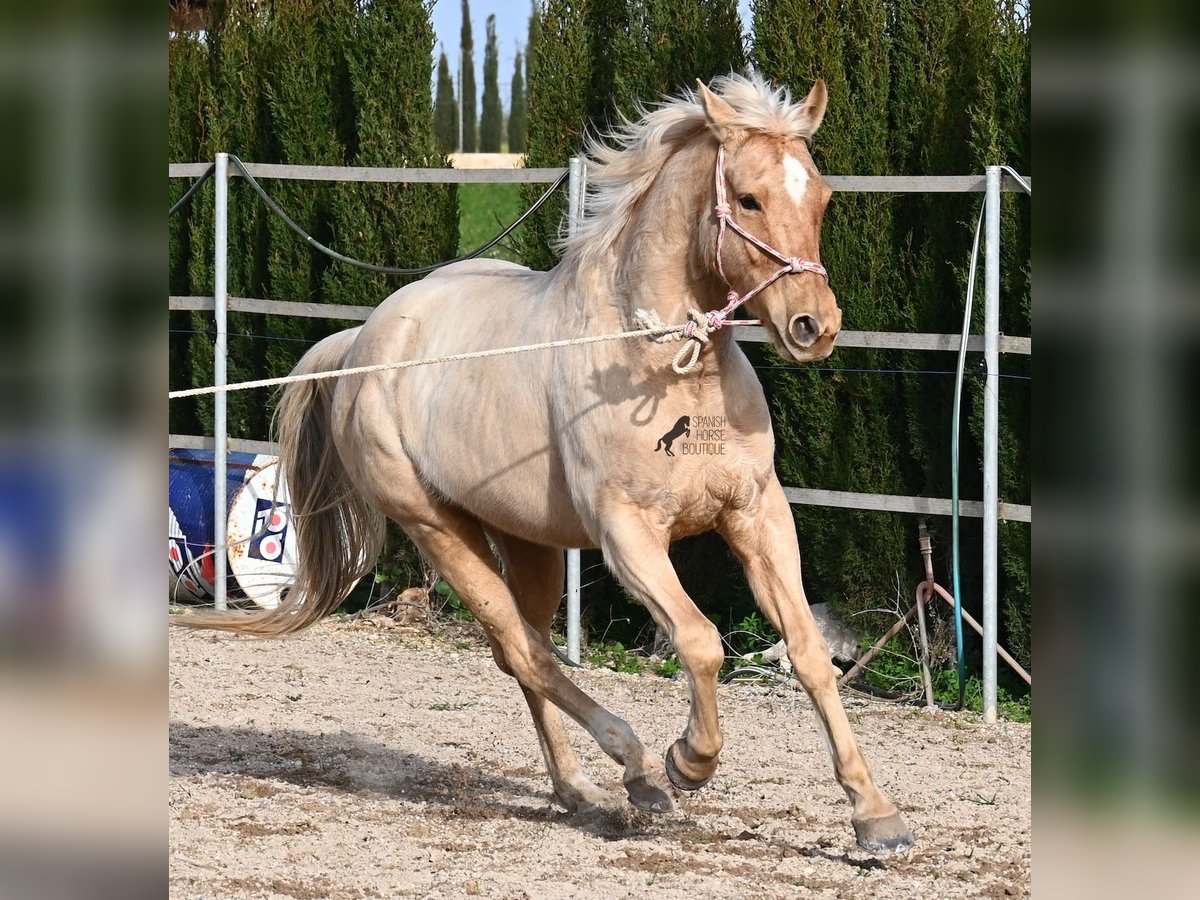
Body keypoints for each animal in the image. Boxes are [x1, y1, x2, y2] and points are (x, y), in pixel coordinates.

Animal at [187, 74, 912, 854]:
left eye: (822, 197)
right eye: (747, 199)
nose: (815, 326)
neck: (662, 362)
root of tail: (362, 343)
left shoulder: (756, 512)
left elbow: (807, 650)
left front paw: (876, 817)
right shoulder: (627, 535)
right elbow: (700, 642)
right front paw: (688, 761)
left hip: (525, 540)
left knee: (525, 652)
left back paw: (577, 789)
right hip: (437, 527)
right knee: (522, 649)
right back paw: (637, 771)